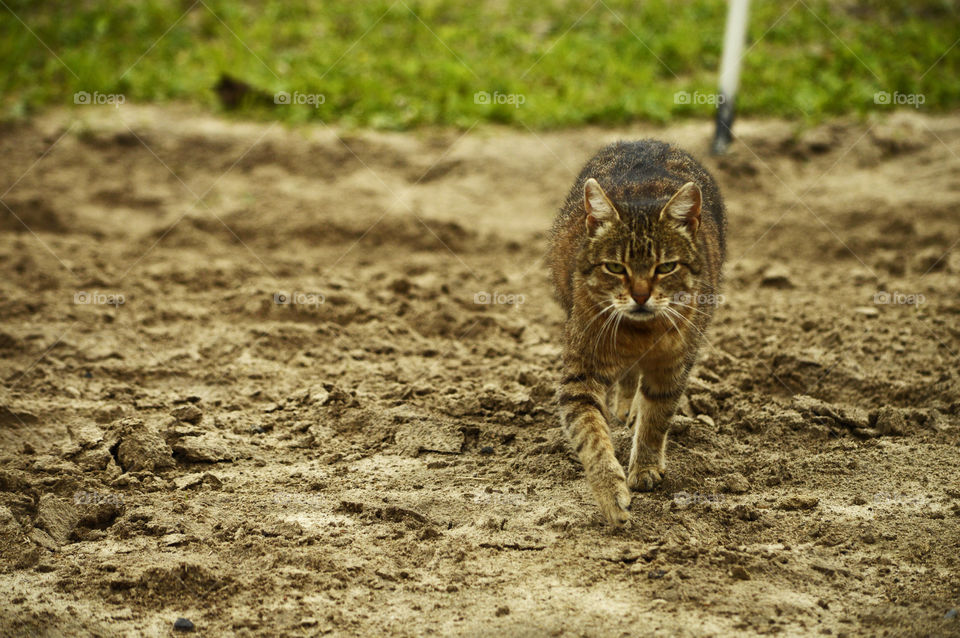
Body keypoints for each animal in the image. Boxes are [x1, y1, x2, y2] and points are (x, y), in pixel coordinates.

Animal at [548, 140, 728, 524]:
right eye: (616, 267)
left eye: (666, 267)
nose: (641, 295)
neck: (640, 333)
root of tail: (645, 140)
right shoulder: (580, 372)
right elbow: (590, 432)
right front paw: (610, 492)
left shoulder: (674, 364)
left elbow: (657, 417)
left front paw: (644, 467)